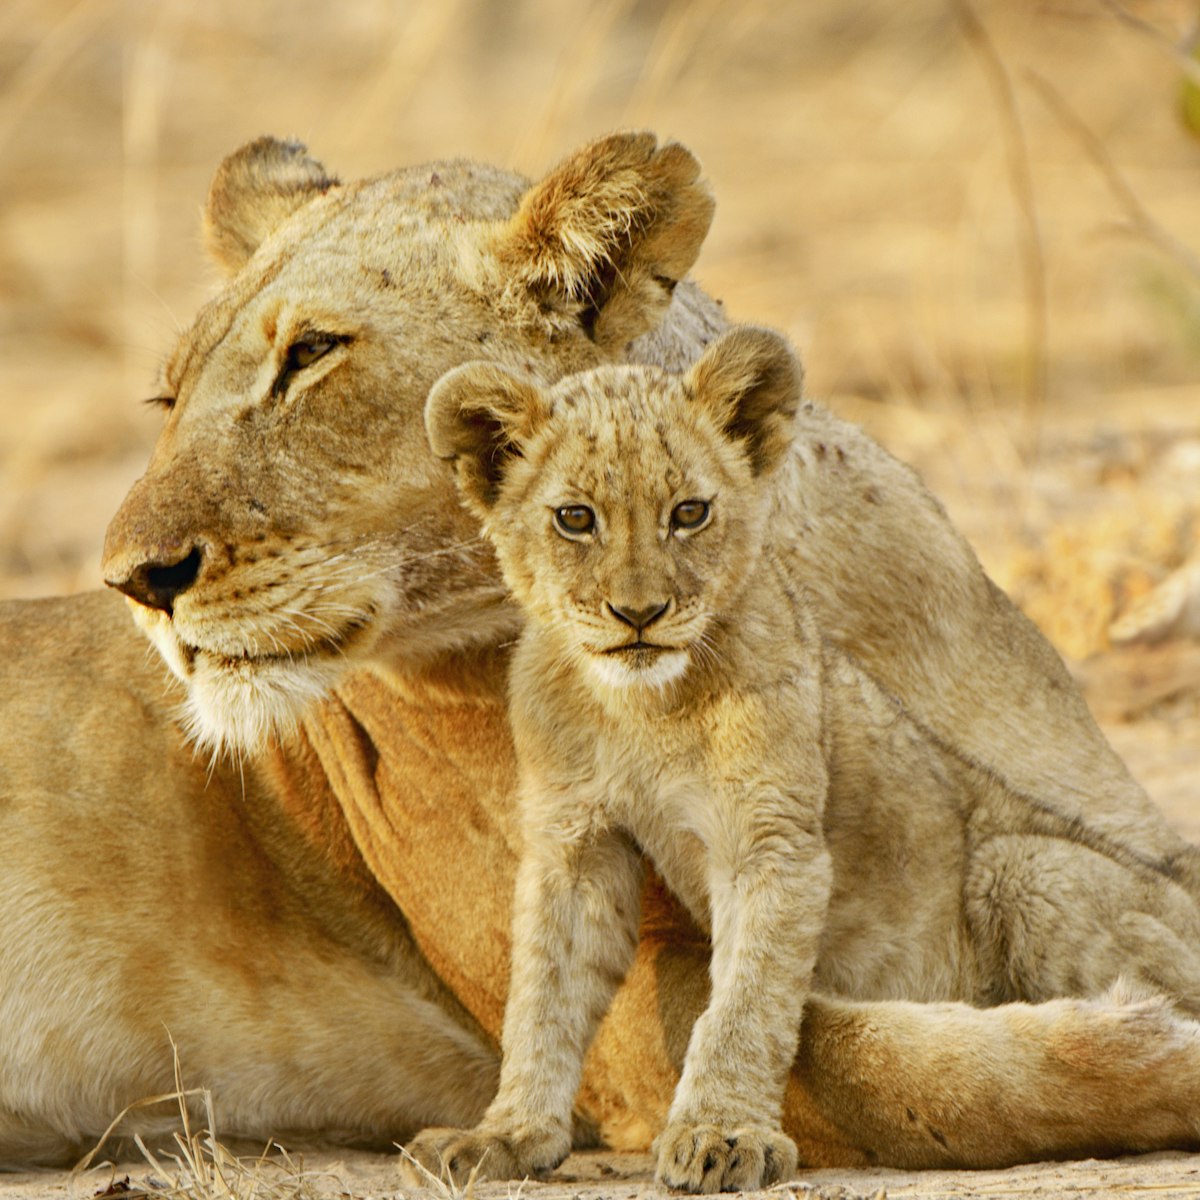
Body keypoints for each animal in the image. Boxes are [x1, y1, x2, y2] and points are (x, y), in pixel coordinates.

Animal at [3, 131, 1200, 1171]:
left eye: (309, 355)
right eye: (168, 395)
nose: (132, 581)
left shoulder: (1100, 839)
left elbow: (1047, 878)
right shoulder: (601, 980)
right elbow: (868, 1064)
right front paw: (1151, 1050)